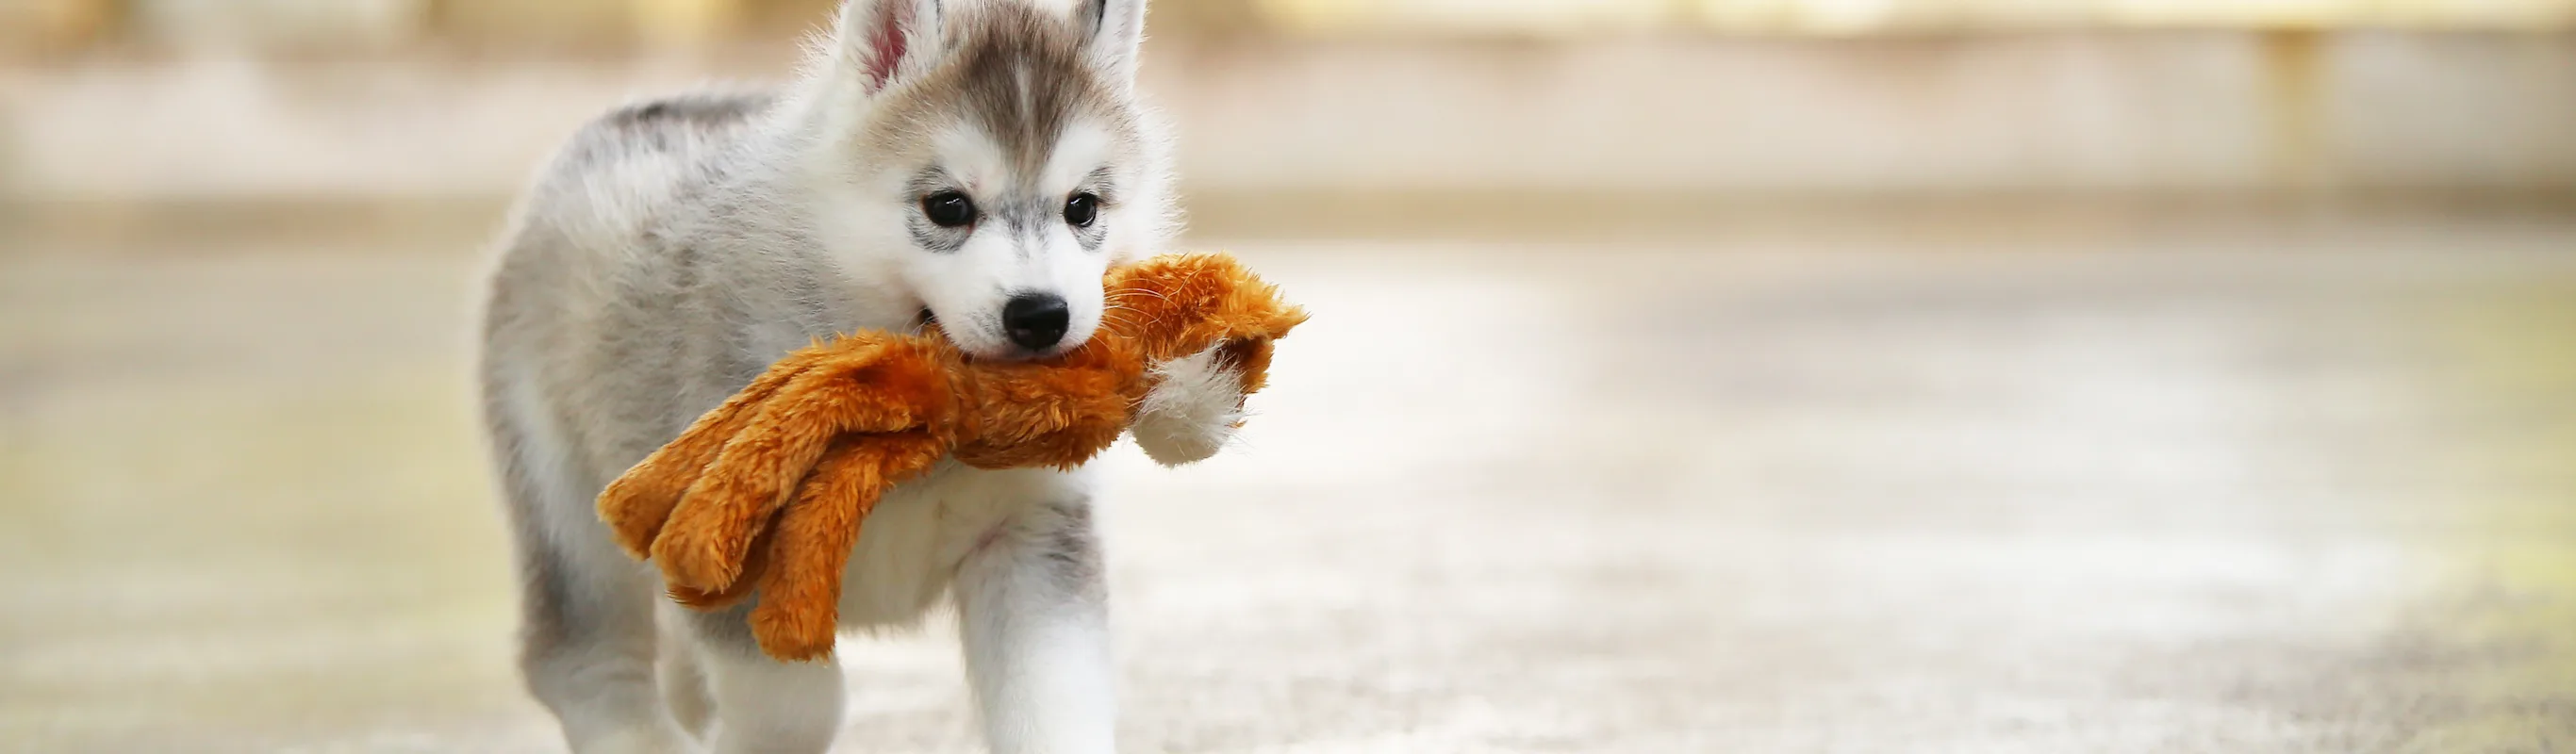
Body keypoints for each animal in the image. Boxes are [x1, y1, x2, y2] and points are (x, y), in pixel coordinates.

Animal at [476, 3, 1226, 746]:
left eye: (1082, 208)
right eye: (948, 206)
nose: (1042, 315)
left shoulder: (1033, 540)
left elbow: (1054, 708)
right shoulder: (727, 545)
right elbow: (796, 705)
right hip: (566, 505)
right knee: (582, 660)